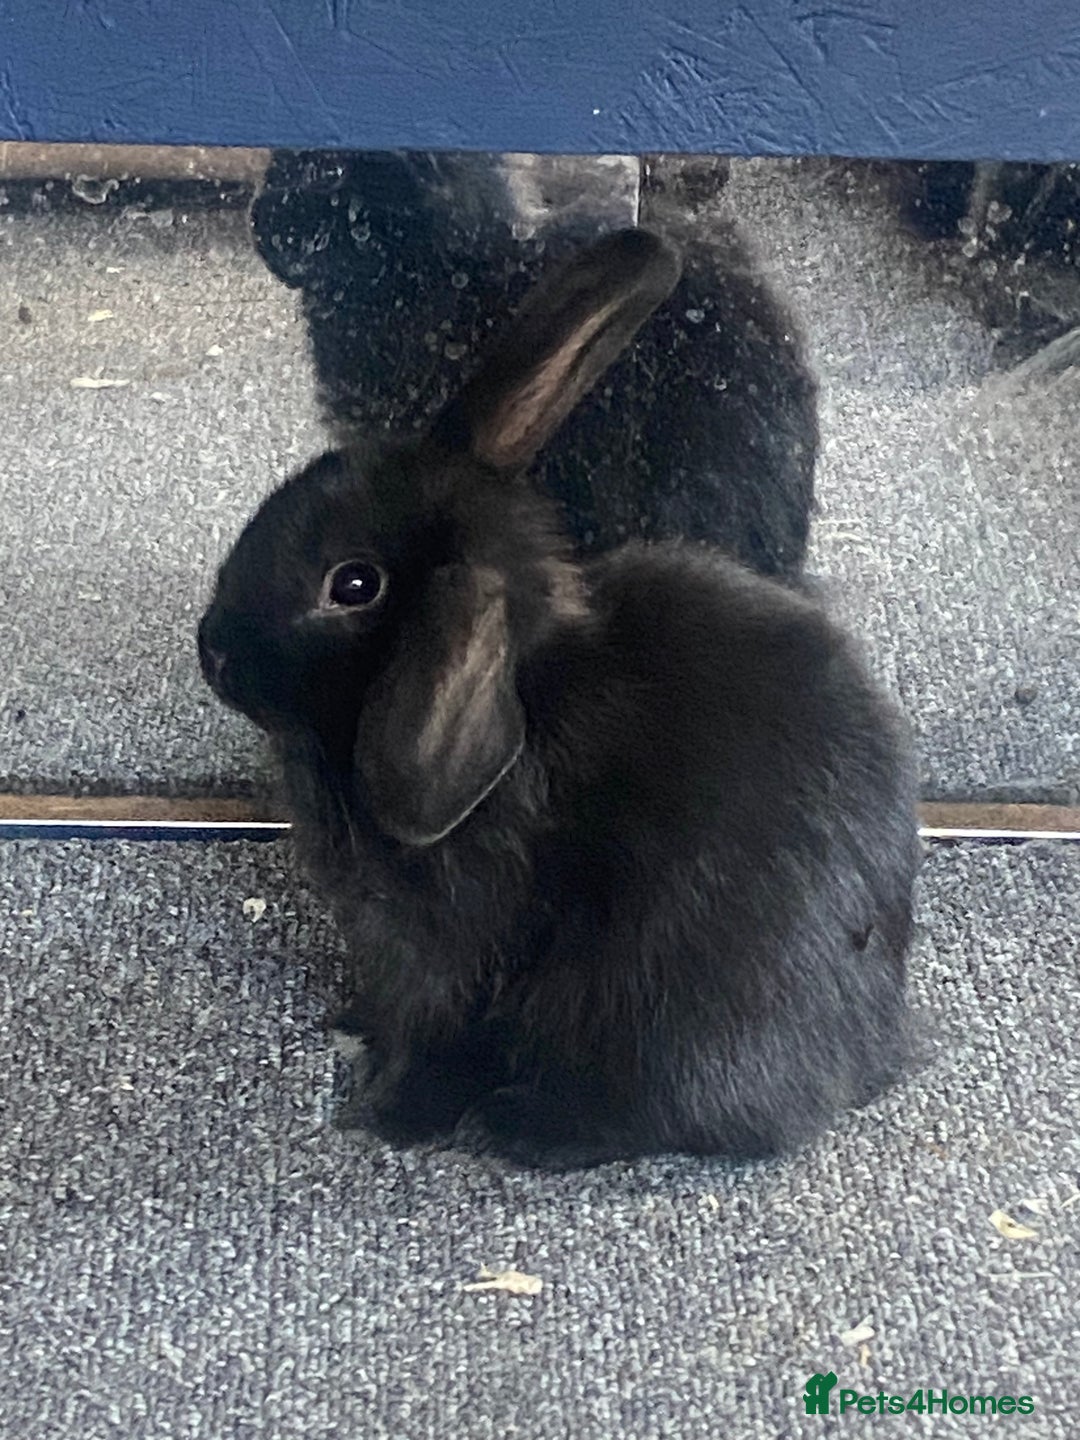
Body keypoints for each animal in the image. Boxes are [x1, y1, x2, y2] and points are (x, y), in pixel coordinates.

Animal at [198, 229, 920, 1170]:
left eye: (352, 585)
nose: (212, 651)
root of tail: (866, 1049)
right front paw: (352, 1027)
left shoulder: (444, 957)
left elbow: (434, 1039)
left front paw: (386, 1116)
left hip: (653, 1014)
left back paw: (521, 1126)